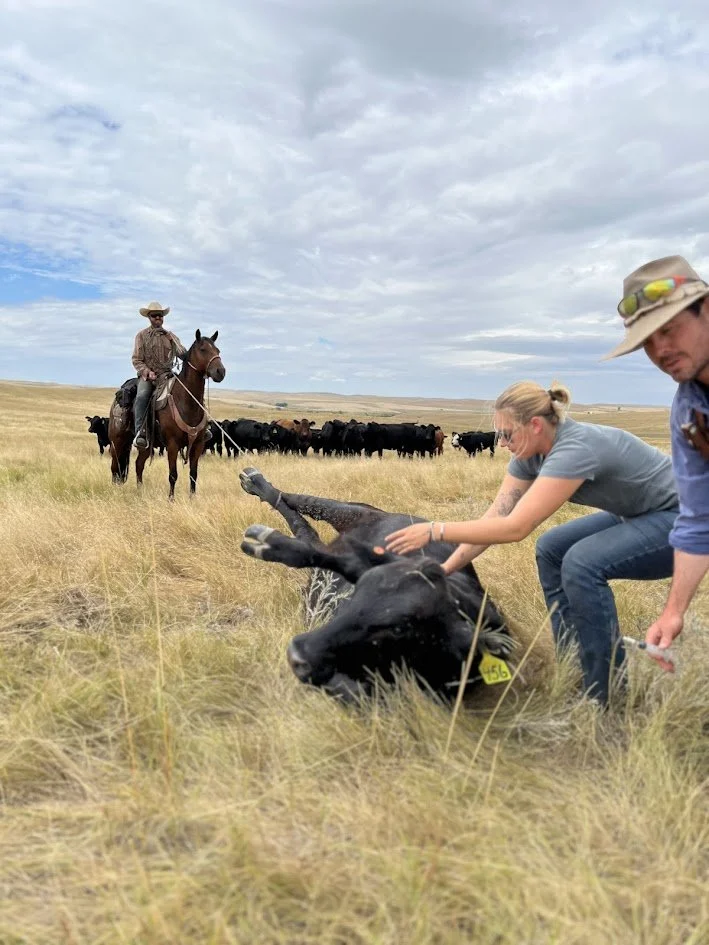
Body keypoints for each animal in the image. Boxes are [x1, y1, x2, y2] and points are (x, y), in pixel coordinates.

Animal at [108, 330, 225, 497]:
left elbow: (193, 474)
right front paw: (171, 498)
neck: (186, 400)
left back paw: (140, 491)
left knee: (138, 465)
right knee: (115, 466)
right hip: (117, 441)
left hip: (145, 446)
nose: (220, 372)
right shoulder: (172, 444)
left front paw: (192, 498)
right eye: (203, 350)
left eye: (217, 351)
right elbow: (173, 474)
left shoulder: (198, 444)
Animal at [239, 467, 513, 703]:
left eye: (400, 628)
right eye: (360, 589)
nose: (297, 653)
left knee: (308, 535)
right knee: (300, 507)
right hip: (353, 511)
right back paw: (255, 485)